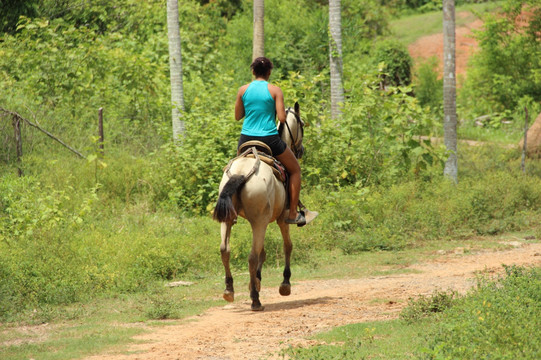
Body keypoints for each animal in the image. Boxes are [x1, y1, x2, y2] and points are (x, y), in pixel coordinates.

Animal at [212, 102, 304, 312]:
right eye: (303, 124)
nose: (301, 150)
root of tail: (241, 171)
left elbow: (263, 251)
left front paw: (257, 280)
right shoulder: (281, 219)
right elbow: (287, 246)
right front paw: (285, 284)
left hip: (230, 218)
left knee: (225, 249)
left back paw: (229, 290)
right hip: (259, 221)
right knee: (252, 256)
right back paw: (255, 299)